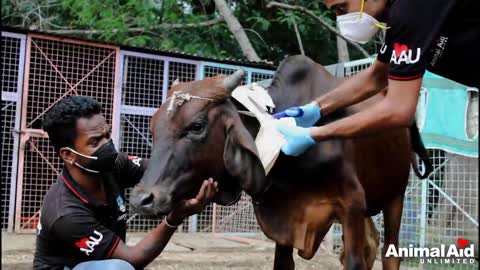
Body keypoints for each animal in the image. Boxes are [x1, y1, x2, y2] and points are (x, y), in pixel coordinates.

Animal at [128, 55, 432, 270]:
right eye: (153, 128)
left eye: (196, 126)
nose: (142, 199)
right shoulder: (286, 220)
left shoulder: (352, 205)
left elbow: (356, 261)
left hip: (395, 195)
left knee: (388, 254)